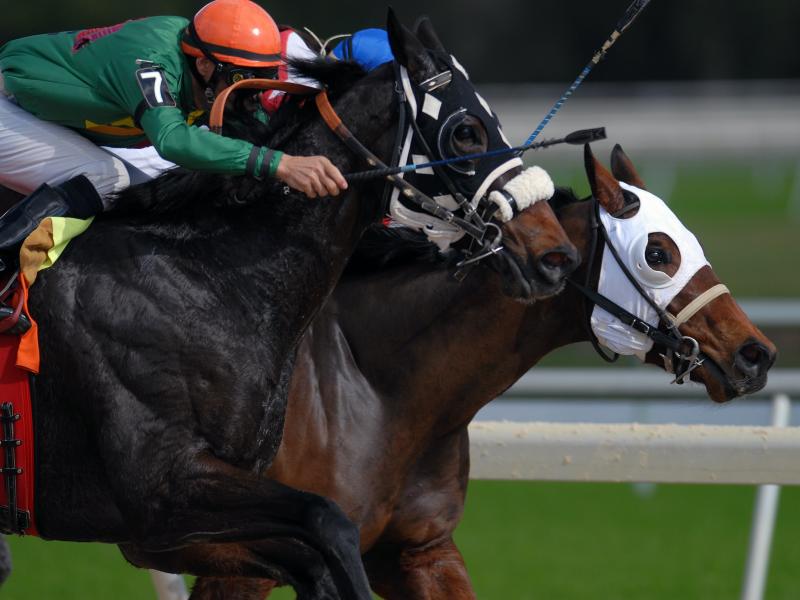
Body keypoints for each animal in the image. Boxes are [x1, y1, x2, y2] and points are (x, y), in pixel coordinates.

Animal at [0, 11, 578, 600]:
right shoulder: (162, 493)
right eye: (465, 130)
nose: (554, 255)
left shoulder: (194, 518)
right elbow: (329, 521)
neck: (208, 278)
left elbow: (315, 556)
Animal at [183, 143, 776, 599]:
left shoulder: (419, 550)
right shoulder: (237, 565)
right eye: (657, 253)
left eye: (692, 241)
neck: (376, 390)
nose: (757, 354)